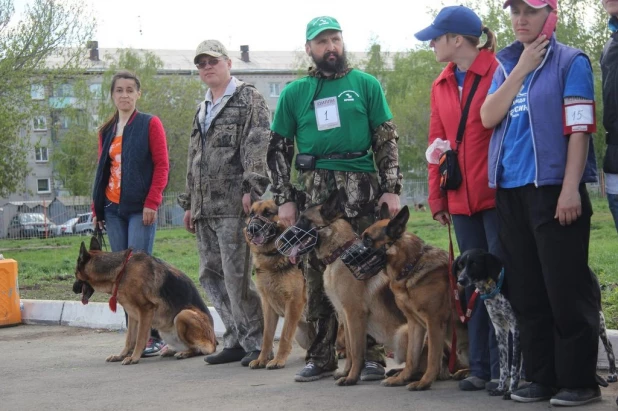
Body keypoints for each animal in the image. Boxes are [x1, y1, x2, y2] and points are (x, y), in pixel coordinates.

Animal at [452, 249, 520, 400]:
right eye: (461, 264)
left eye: (474, 264)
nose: (460, 280)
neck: (495, 288)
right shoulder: (500, 329)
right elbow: (503, 365)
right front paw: (500, 388)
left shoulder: (517, 328)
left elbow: (514, 365)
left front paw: (511, 391)